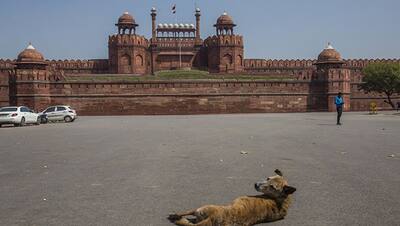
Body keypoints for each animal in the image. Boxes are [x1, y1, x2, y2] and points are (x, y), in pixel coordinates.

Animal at [167, 170, 296, 226]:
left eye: (272, 186)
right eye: (268, 178)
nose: (255, 184)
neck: (281, 200)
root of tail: (213, 218)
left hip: (202, 208)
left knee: (186, 214)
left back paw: (174, 216)